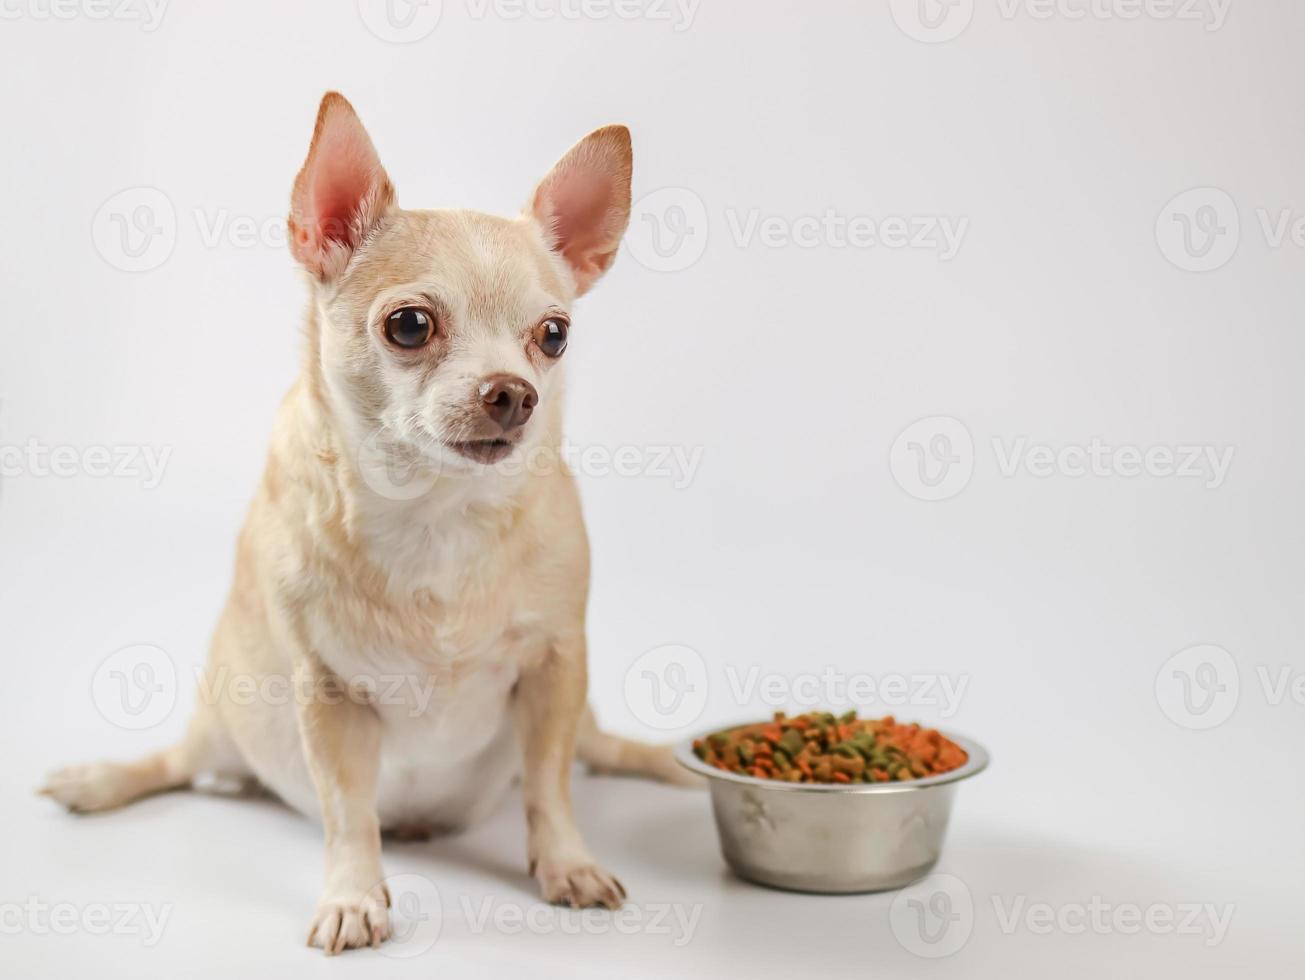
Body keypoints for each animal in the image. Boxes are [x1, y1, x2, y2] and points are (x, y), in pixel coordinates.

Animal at [38, 91, 694, 949]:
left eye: (553, 335)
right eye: (409, 325)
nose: (515, 394)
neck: (436, 512)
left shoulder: (556, 669)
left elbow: (549, 788)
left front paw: (567, 863)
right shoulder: (329, 693)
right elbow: (349, 813)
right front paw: (352, 897)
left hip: (576, 712)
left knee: (597, 748)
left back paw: (669, 761)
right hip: (229, 713)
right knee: (179, 761)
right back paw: (100, 779)